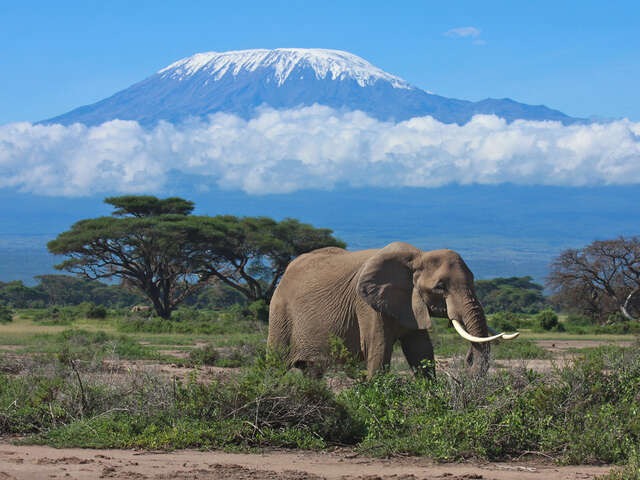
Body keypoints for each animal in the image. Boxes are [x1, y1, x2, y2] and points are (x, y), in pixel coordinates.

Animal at [268, 244, 516, 378]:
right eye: (440, 287)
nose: (467, 360)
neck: (418, 256)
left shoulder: (410, 303)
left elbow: (421, 351)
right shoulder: (366, 305)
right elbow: (378, 350)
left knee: (312, 371)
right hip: (279, 312)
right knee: (275, 364)